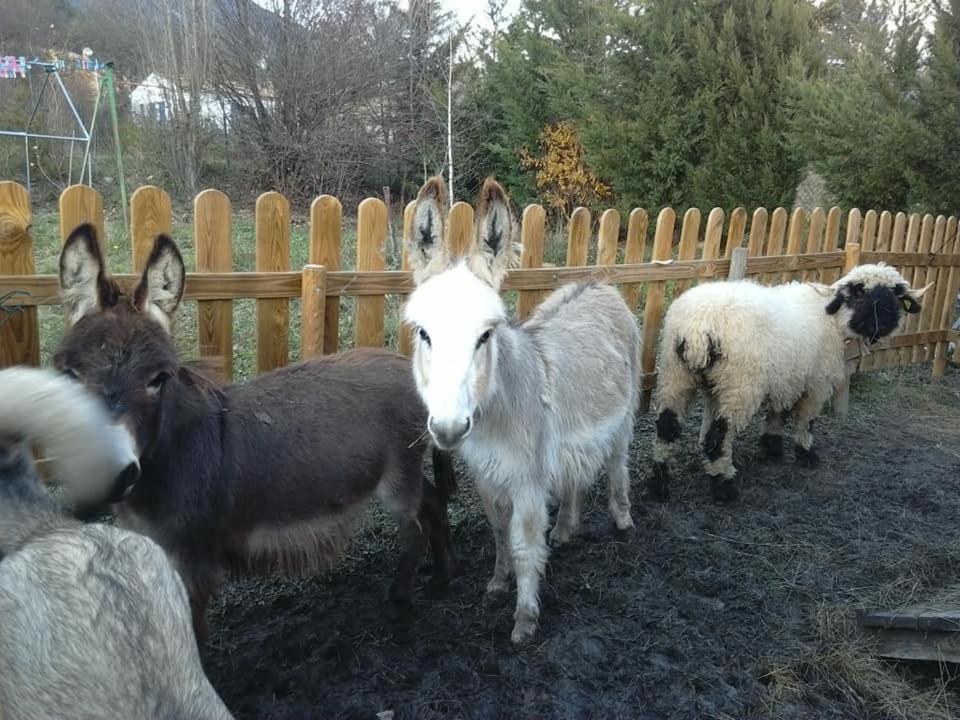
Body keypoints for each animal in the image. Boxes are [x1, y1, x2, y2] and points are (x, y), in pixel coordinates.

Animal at [644, 262, 928, 504]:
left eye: (896, 296)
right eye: (858, 294)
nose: (883, 323)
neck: (834, 322)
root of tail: (698, 328)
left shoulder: (787, 377)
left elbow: (777, 412)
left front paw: (772, 447)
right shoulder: (817, 383)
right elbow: (806, 420)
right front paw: (805, 453)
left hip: (675, 376)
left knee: (667, 427)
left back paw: (659, 484)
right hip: (740, 385)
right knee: (718, 436)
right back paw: (723, 485)